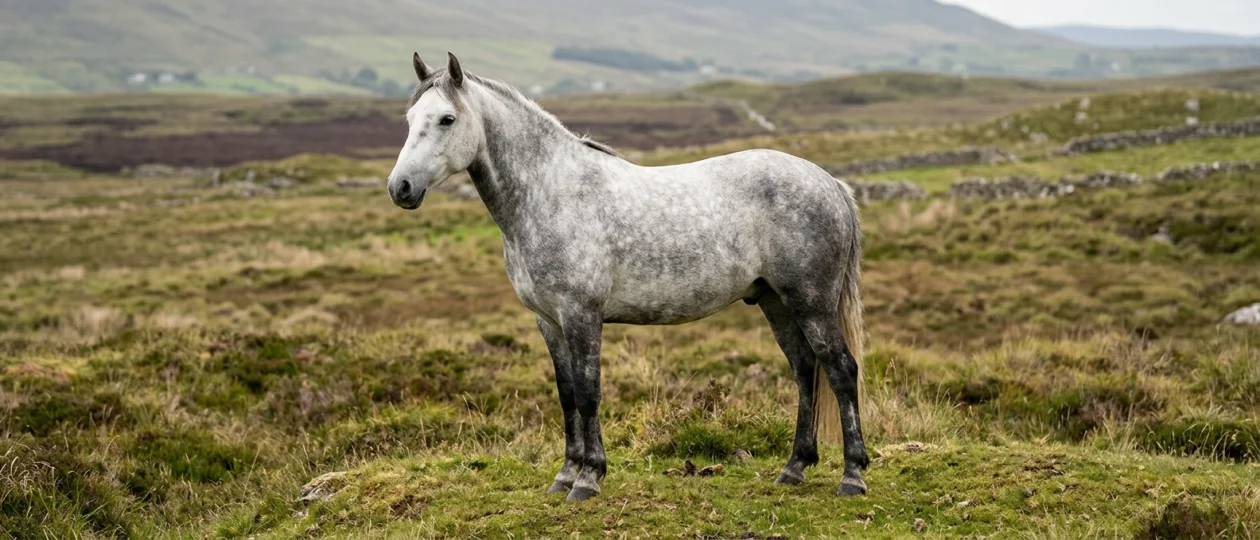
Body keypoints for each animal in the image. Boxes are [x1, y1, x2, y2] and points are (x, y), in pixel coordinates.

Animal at [387, 52, 868, 502]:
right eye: (409, 120)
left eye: (447, 119)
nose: (400, 188)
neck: (551, 193)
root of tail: (831, 183)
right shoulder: (548, 320)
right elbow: (566, 394)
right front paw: (565, 475)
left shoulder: (581, 314)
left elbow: (588, 392)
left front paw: (589, 478)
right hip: (775, 301)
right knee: (805, 370)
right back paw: (794, 468)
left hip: (811, 301)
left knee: (841, 369)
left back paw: (853, 475)